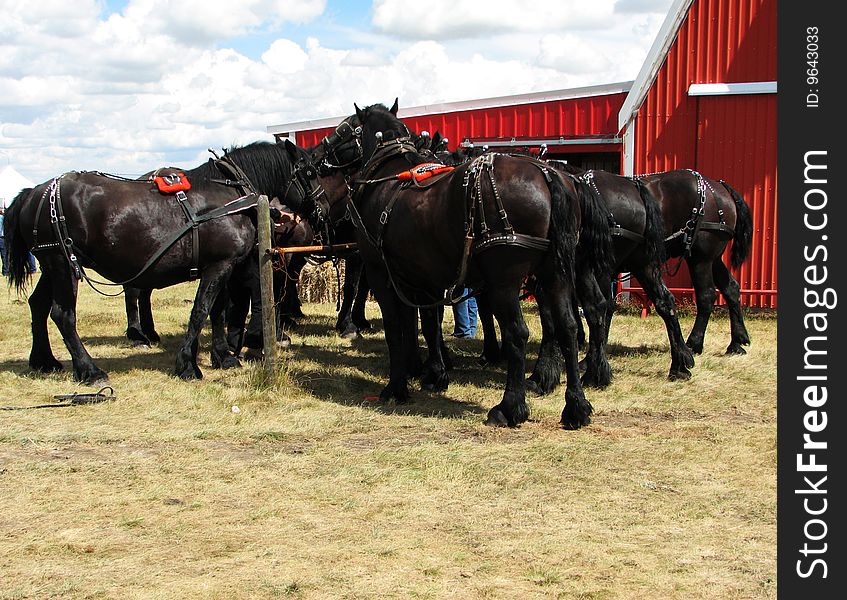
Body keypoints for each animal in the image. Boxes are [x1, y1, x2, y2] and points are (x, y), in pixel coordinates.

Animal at [4, 140, 322, 382]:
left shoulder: (220, 265)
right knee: (63, 315)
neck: (229, 197)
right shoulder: (220, 266)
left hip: (50, 264)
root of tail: (36, 193)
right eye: (310, 171)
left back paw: (44, 360)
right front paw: (188, 366)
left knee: (38, 305)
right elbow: (201, 311)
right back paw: (90, 369)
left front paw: (222, 357)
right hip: (63, 263)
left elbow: (217, 311)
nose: (321, 209)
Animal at [322, 103, 608, 428]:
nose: (319, 156)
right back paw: (576, 406)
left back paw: (511, 406)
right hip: (557, 273)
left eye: (345, 128)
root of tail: (549, 175)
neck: (386, 177)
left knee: (519, 333)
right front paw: (432, 373)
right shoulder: (420, 277)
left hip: (506, 282)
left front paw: (397, 386)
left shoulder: (381, 273)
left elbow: (397, 327)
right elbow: (425, 324)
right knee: (569, 326)